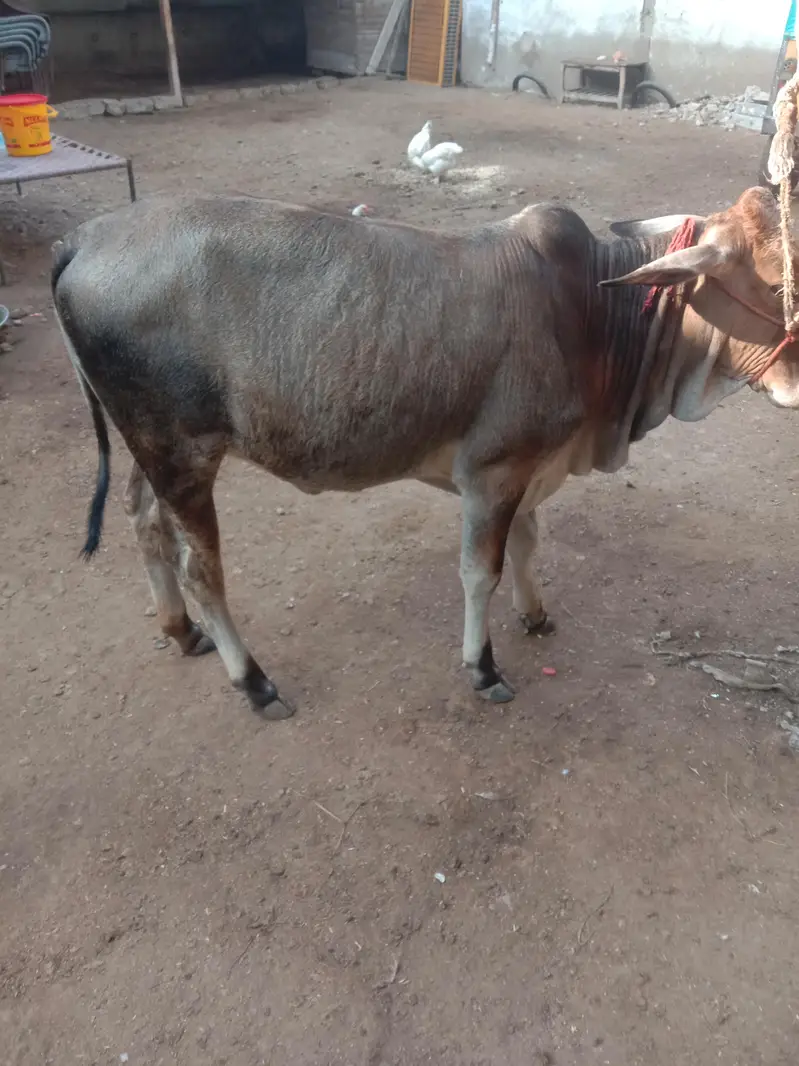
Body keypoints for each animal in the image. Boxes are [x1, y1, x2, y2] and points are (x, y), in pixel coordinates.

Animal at [51, 186, 799, 720]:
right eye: (774, 284)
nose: (794, 381)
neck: (592, 312)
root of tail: (84, 236)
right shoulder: (494, 470)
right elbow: (479, 572)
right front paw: (483, 667)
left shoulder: (530, 467)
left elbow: (528, 543)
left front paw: (535, 614)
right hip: (180, 453)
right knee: (203, 571)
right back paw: (255, 683)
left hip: (154, 450)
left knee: (143, 523)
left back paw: (181, 631)